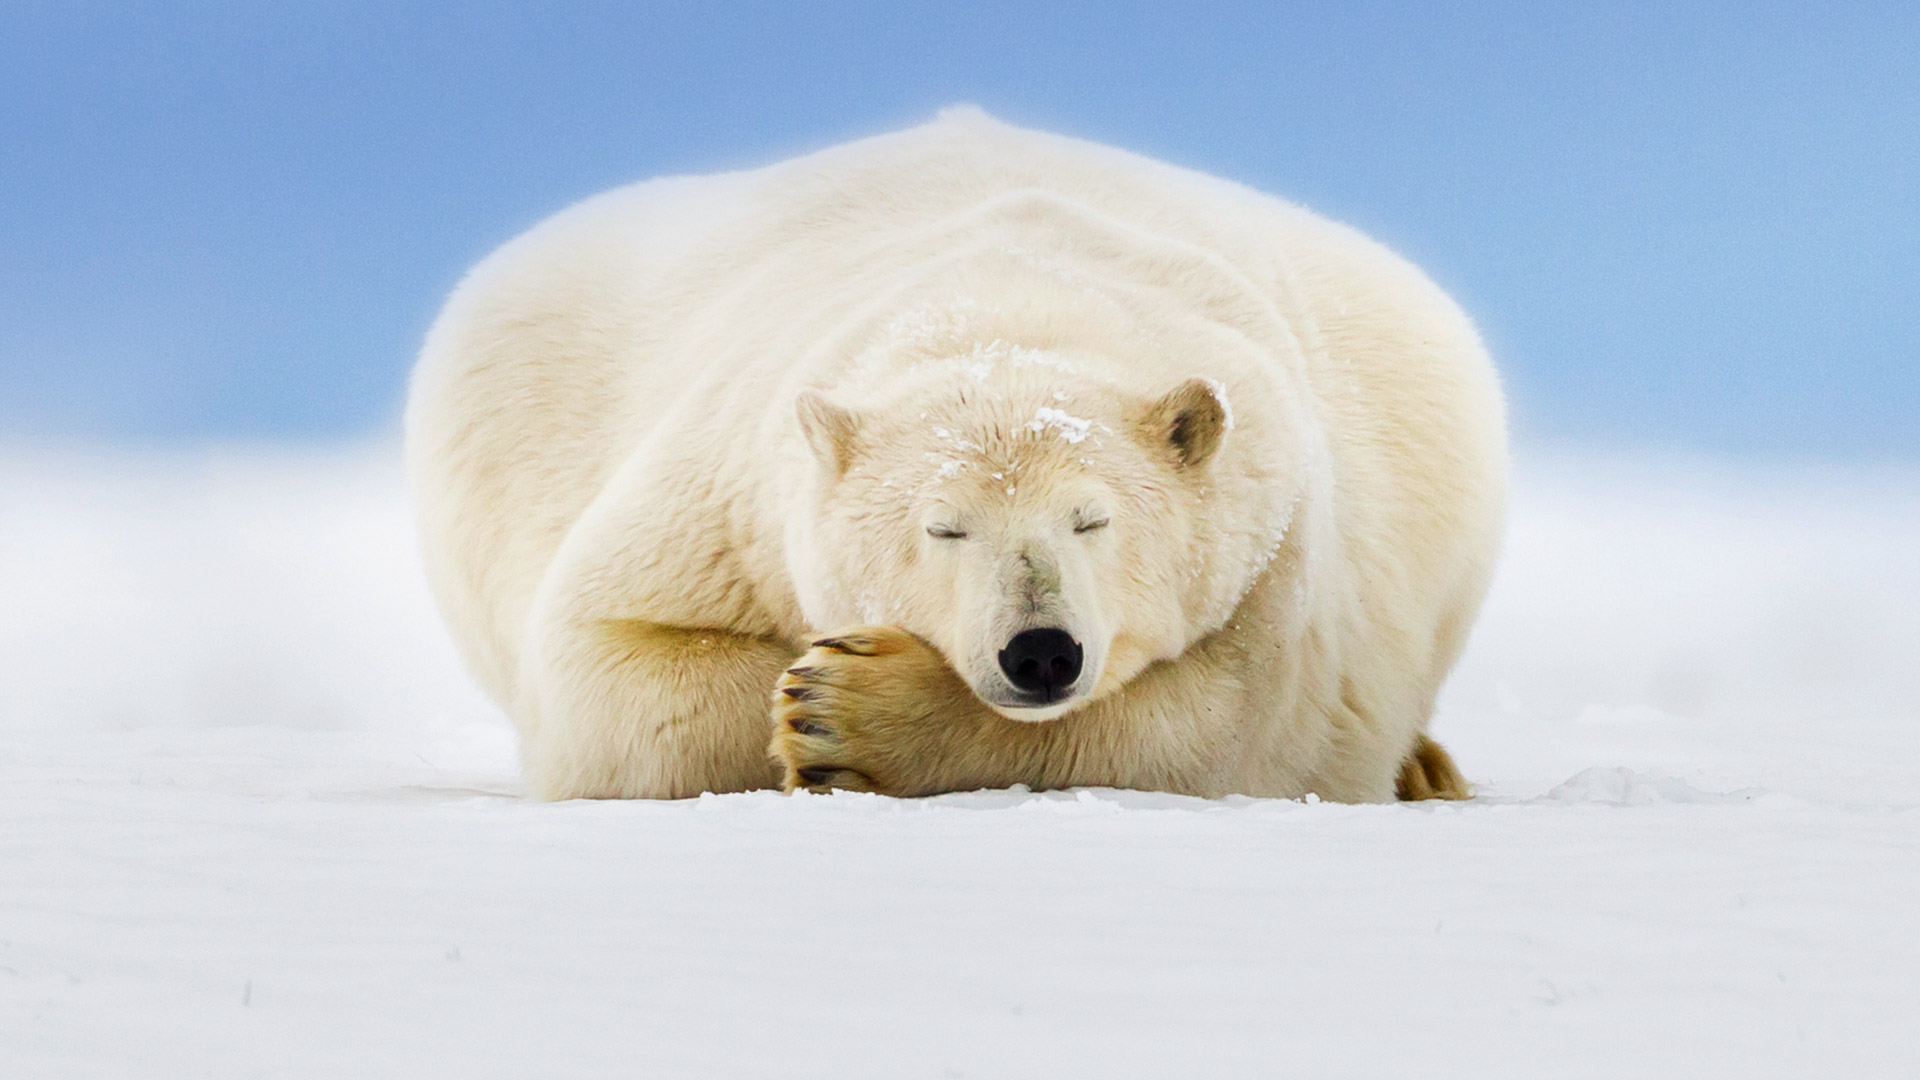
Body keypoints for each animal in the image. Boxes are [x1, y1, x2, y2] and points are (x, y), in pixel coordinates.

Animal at [405, 107, 1506, 803]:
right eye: (943, 528)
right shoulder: (726, 497)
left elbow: (1235, 726)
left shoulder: (1279, 539)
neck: (1011, 296)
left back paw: (1429, 769)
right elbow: (605, 666)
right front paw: (807, 691)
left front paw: (849, 712)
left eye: (1093, 520)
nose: (1040, 650)